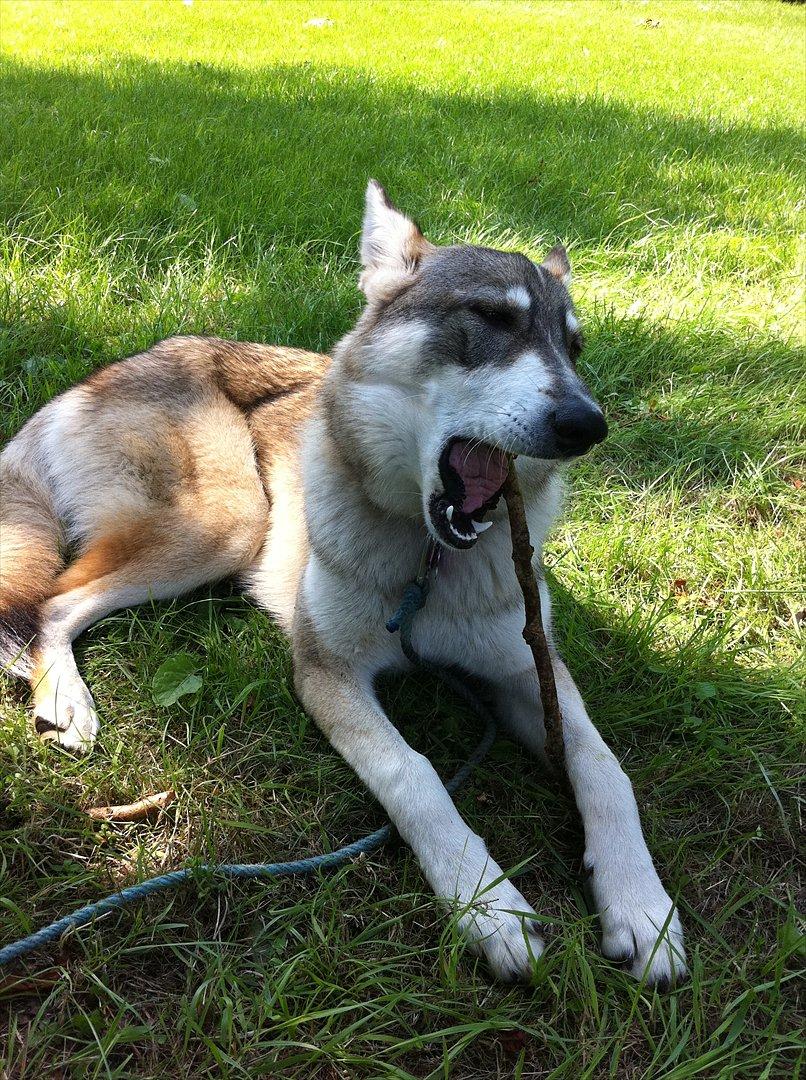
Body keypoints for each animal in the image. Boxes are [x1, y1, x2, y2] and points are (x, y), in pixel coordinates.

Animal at [0, 179, 682, 989]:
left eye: (575, 349)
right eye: (491, 319)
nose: (587, 424)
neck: (428, 564)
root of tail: (106, 373)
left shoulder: (529, 670)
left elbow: (607, 772)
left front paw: (641, 906)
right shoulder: (326, 674)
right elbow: (413, 775)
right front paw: (488, 905)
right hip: (226, 522)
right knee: (55, 603)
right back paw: (67, 699)